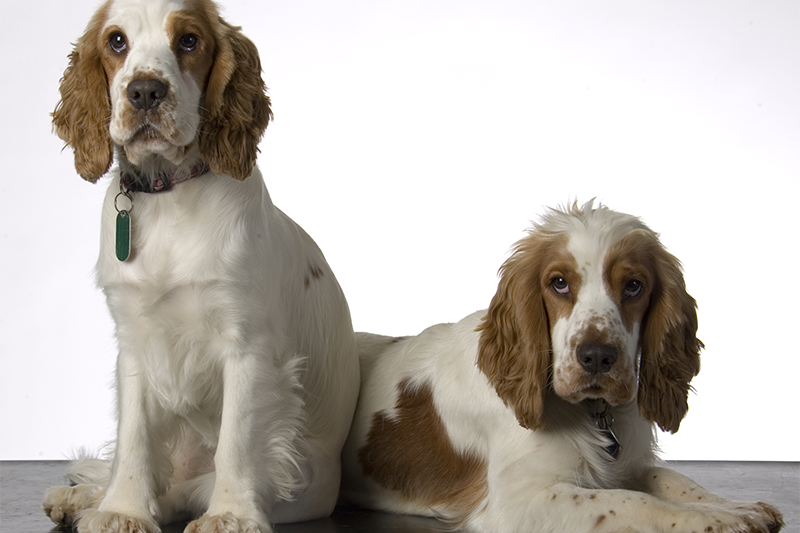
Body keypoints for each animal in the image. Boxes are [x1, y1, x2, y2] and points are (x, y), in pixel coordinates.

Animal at [41, 1, 360, 532]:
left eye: (189, 41)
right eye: (116, 42)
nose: (144, 92)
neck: (167, 193)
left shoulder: (247, 346)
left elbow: (236, 439)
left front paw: (230, 514)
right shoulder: (133, 340)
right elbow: (133, 438)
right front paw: (121, 508)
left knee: (183, 491)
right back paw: (81, 498)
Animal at [340, 201, 784, 532]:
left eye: (634, 286)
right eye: (558, 282)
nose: (596, 356)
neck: (593, 413)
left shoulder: (625, 463)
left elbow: (674, 479)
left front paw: (733, 506)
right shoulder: (517, 502)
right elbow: (633, 502)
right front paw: (718, 520)